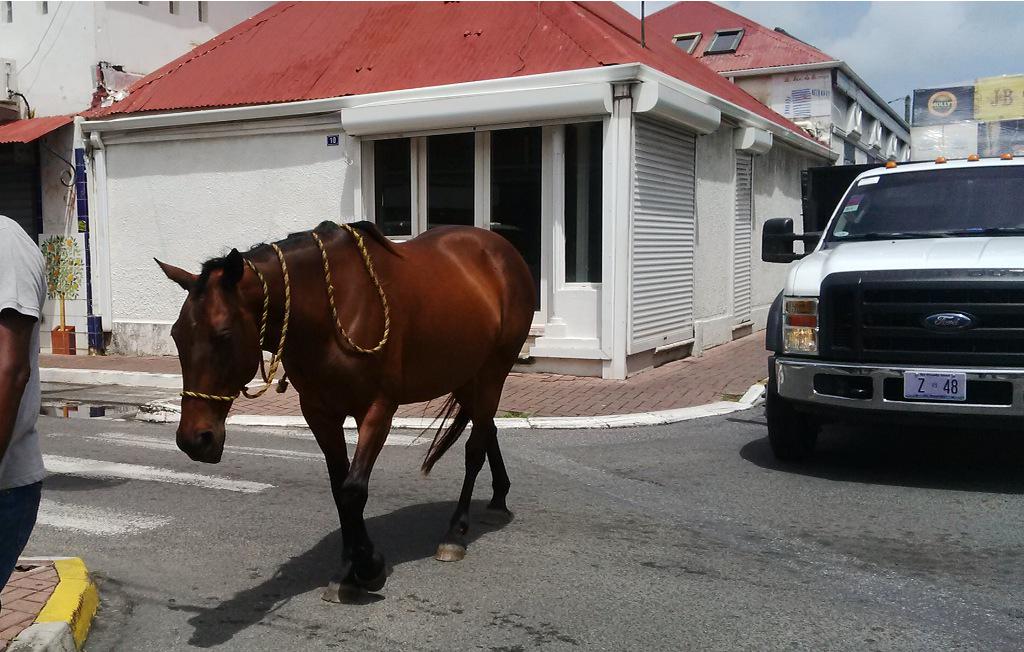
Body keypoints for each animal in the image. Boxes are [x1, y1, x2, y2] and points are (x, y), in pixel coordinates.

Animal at [155, 220, 535, 595]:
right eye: (175, 335)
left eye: (224, 335)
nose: (195, 440)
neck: (330, 312)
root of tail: (500, 249)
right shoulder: (319, 414)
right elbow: (340, 488)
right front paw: (349, 566)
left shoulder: (378, 410)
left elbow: (354, 490)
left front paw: (369, 566)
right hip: (466, 373)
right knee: (488, 429)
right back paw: (498, 499)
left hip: (492, 372)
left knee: (475, 448)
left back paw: (455, 532)